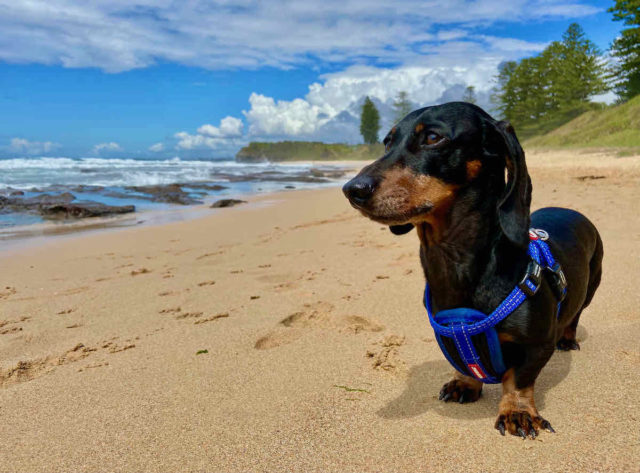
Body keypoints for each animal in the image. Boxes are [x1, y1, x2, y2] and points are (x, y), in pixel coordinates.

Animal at [342, 101, 604, 436]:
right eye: (387, 142)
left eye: (432, 137)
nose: (352, 190)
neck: (452, 258)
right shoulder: (449, 333)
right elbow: (461, 362)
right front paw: (465, 384)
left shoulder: (537, 345)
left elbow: (518, 379)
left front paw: (517, 411)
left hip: (591, 287)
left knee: (575, 314)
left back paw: (568, 339)